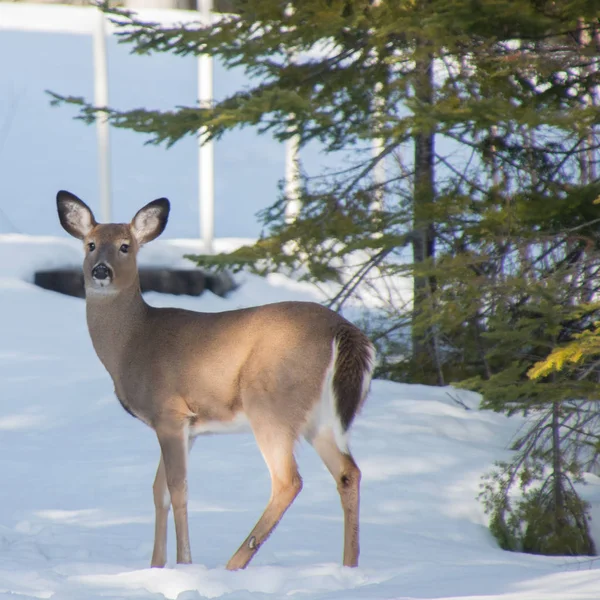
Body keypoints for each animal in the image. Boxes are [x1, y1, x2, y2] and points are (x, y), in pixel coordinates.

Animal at [56, 190, 376, 568]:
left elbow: (178, 488)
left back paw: (235, 563)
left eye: (125, 246)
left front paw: (184, 563)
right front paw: (155, 566)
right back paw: (350, 565)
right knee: (348, 472)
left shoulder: (169, 412)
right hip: (320, 418)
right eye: (90, 244)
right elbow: (158, 490)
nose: (101, 271)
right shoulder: (187, 427)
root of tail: (343, 331)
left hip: (270, 402)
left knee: (288, 481)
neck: (132, 341)